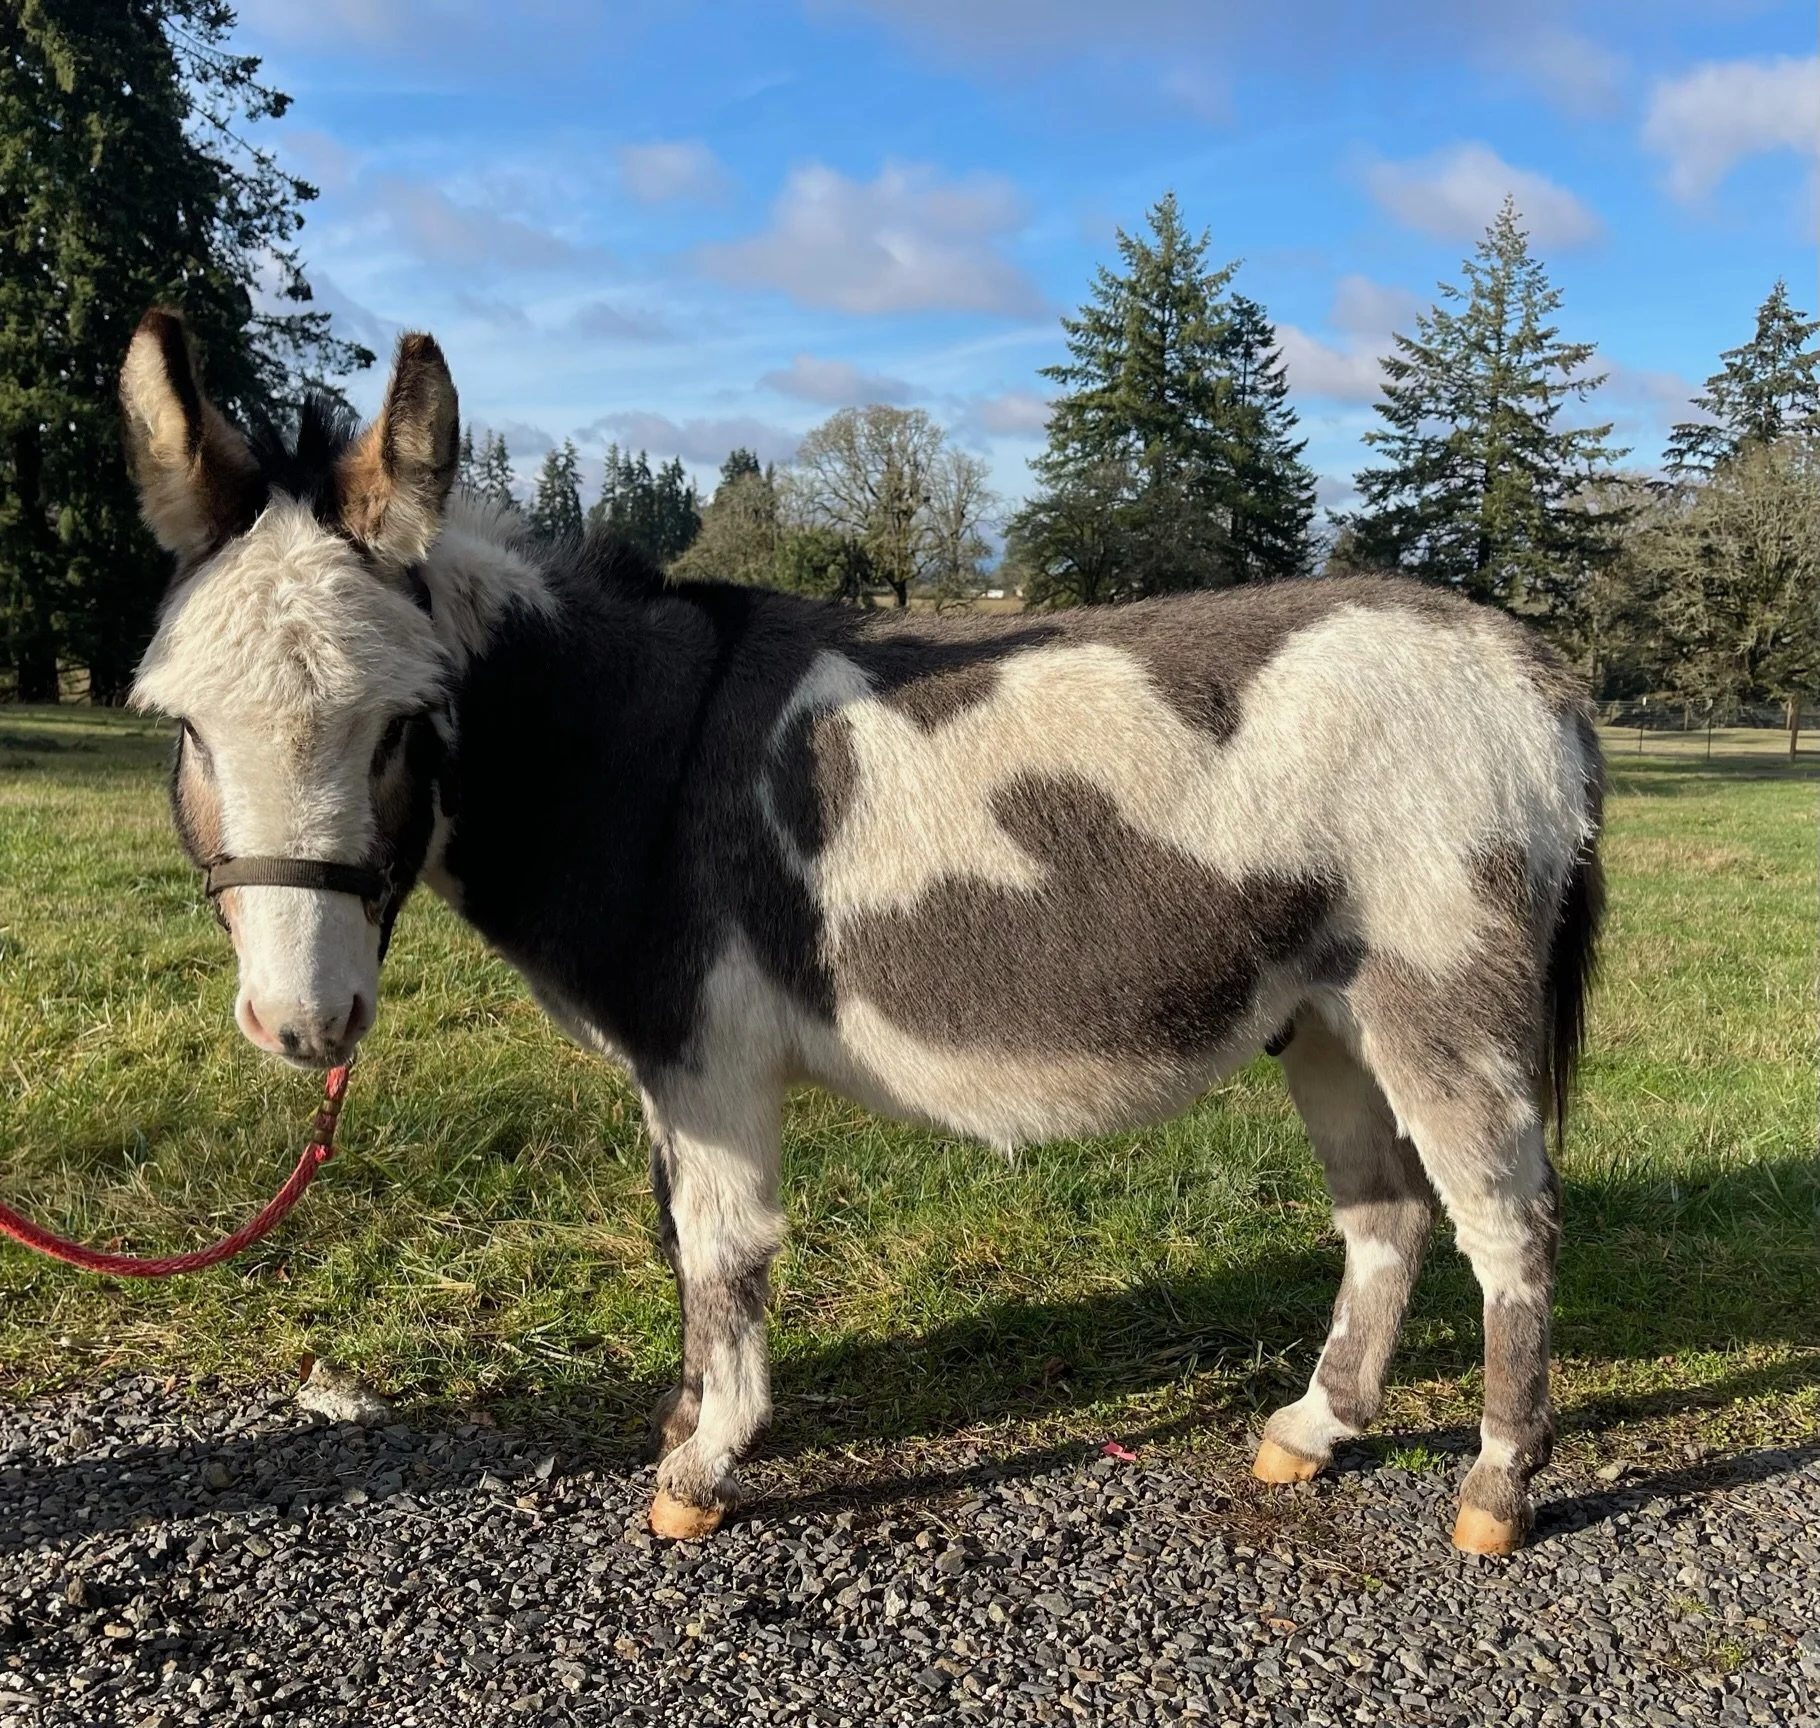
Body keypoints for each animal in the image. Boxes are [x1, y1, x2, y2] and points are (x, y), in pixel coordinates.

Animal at [119, 314, 1603, 1555]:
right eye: (183, 730)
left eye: (405, 727)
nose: (302, 1025)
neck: (633, 751)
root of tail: (1532, 668)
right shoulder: (670, 1071)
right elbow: (678, 1237)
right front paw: (685, 1414)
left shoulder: (711, 1060)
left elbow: (724, 1252)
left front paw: (703, 1468)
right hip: (1326, 1017)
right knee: (1387, 1214)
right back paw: (1311, 1432)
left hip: (1441, 998)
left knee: (1509, 1226)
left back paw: (1494, 1491)